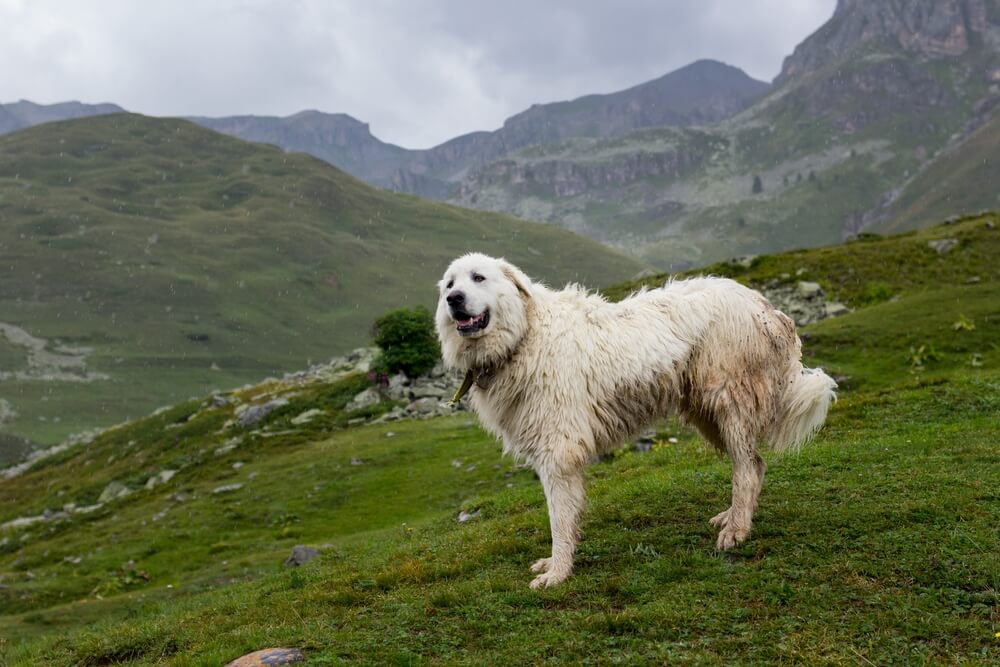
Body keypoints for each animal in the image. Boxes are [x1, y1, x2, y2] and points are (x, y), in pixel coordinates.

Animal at [438, 253, 836, 588]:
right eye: (449, 284)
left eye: (478, 277)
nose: (454, 299)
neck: (524, 336)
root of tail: (764, 306)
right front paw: (555, 565)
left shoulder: (558, 452)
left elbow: (559, 519)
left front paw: (558, 572)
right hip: (709, 414)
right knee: (755, 464)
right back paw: (733, 517)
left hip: (729, 402)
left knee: (747, 470)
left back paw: (736, 530)